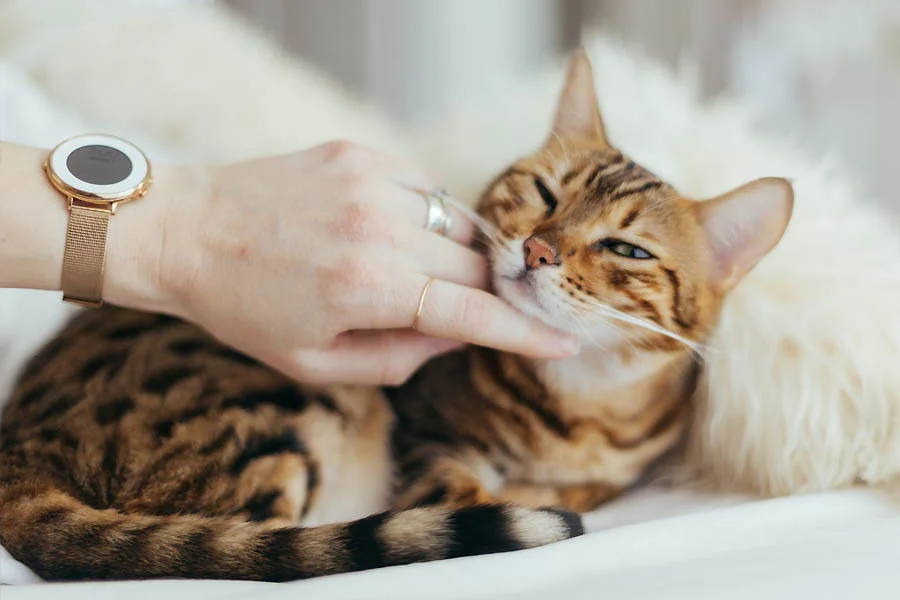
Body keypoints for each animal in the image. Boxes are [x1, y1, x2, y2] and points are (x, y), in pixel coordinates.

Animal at [0, 49, 788, 584]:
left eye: (626, 248)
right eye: (543, 193)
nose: (537, 248)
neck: (580, 409)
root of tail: (19, 444)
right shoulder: (424, 434)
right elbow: (460, 491)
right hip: (280, 396)